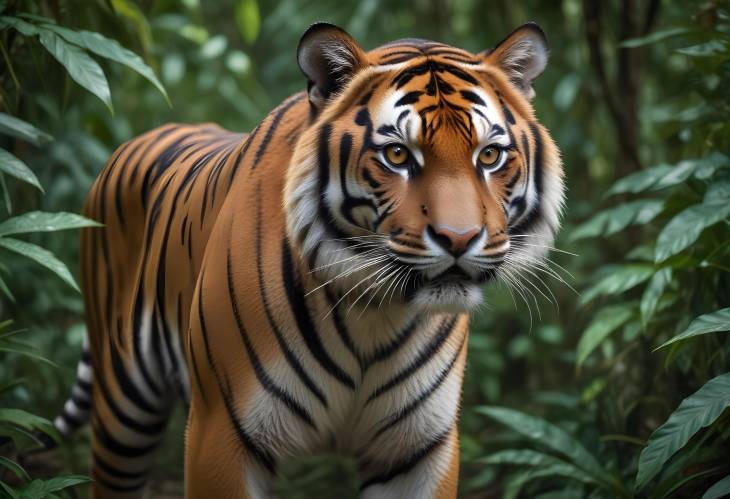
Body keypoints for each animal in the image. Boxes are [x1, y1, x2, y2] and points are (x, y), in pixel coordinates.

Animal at [52, 21, 564, 498]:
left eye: (490, 155)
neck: (374, 315)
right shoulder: (221, 431)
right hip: (123, 408)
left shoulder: (419, 447)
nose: (459, 239)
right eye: (398, 154)